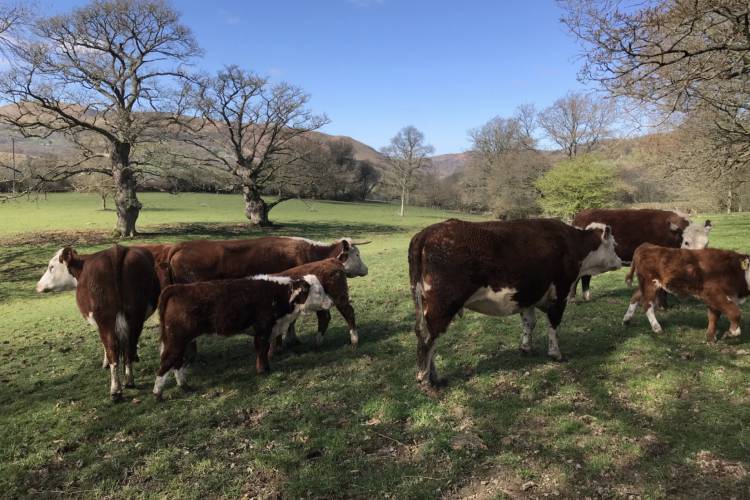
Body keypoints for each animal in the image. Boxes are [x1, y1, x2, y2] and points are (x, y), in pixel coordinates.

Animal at [36, 245, 161, 401]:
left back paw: (115, 390)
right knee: (129, 346)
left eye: (51, 267)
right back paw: (129, 381)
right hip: (135, 316)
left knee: (112, 347)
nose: (37, 285)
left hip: (106, 319)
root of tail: (116, 251)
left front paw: (105, 363)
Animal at [153, 274, 332, 400]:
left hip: (183, 341)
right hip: (176, 340)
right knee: (166, 363)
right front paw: (263, 371)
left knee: (177, 363)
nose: (330, 302)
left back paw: (184, 386)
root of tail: (177, 288)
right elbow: (261, 350)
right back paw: (158, 394)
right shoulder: (263, 330)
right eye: (318, 291)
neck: (279, 294)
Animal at [408, 218, 622, 387]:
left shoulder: (527, 296)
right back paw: (426, 380)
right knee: (429, 338)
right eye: (614, 244)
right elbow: (554, 324)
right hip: (442, 306)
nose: (621, 261)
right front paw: (556, 354)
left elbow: (529, 322)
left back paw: (434, 377)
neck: (572, 244)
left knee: (425, 335)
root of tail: (426, 233)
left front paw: (526, 348)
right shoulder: (560, 293)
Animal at [571, 208, 712, 301]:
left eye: (706, 243)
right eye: (687, 242)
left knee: (586, 276)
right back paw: (573, 298)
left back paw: (587, 297)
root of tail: (581, 214)